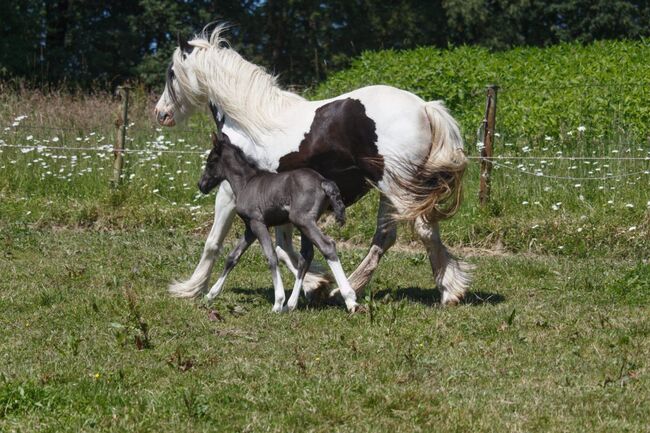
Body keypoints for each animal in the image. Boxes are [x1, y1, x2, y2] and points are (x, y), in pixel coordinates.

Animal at [197, 127, 360, 310]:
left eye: (211, 162)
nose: (201, 185)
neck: (246, 183)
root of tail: (323, 181)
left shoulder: (258, 223)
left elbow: (271, 256)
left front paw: (278, 301)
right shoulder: (250, 228)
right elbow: (232, 257)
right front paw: (211, 294)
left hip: (302, 221)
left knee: (327, 246)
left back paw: (350, 299)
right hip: (305, 224)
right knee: (306, 256)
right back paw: (292, 304)